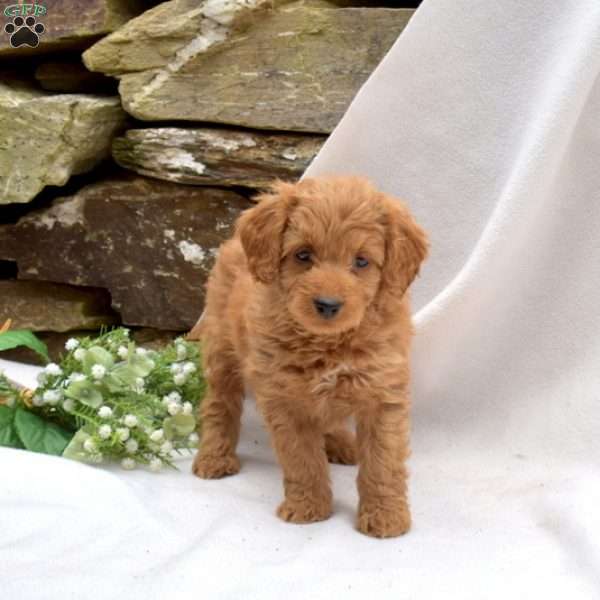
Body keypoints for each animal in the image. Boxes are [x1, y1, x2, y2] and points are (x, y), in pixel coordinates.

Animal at [191, 176, 426, 536]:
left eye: (361, 261)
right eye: (303, 255)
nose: (328, 304)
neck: (327, 344)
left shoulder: (383, 394)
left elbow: (383, 462)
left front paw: (385, 516)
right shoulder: (286, 400)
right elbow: (302, 459)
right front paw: (309, 508)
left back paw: (343, 444)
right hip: (222, 348)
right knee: (220, 405)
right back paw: (214, 458)